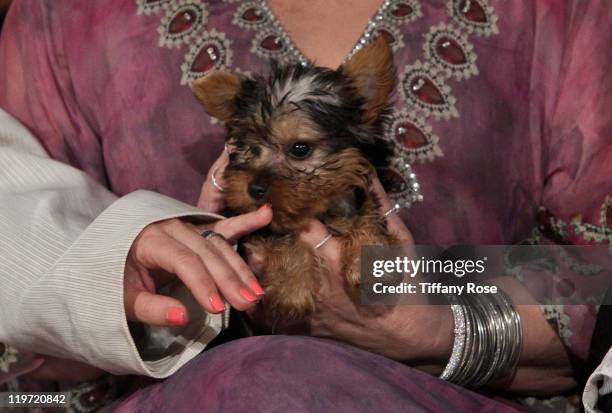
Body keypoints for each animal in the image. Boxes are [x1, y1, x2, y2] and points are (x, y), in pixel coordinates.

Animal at [194, 37, 400, 326]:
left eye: (300, 149)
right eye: (251, 148)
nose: (253, 188)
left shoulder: (360, 189)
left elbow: (367, 213)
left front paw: (370, 261)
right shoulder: (256, 226)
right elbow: (285, 237)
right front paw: (292, 289)